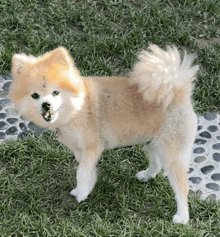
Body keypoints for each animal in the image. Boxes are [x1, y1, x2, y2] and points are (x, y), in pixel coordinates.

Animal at [9, 45, 198, 224]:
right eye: (35, 95)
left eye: (56, 92)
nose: (46, 105)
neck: (77, 109)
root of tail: (177, 89)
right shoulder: (80, 149)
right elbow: (87, 169)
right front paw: (87, 187)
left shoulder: (93, 145)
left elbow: (81, 171)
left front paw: (81, 192)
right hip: (152, 141)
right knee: (157, 164)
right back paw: (147, 175)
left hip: (172, 151)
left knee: (181, 186)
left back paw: (182, 216)